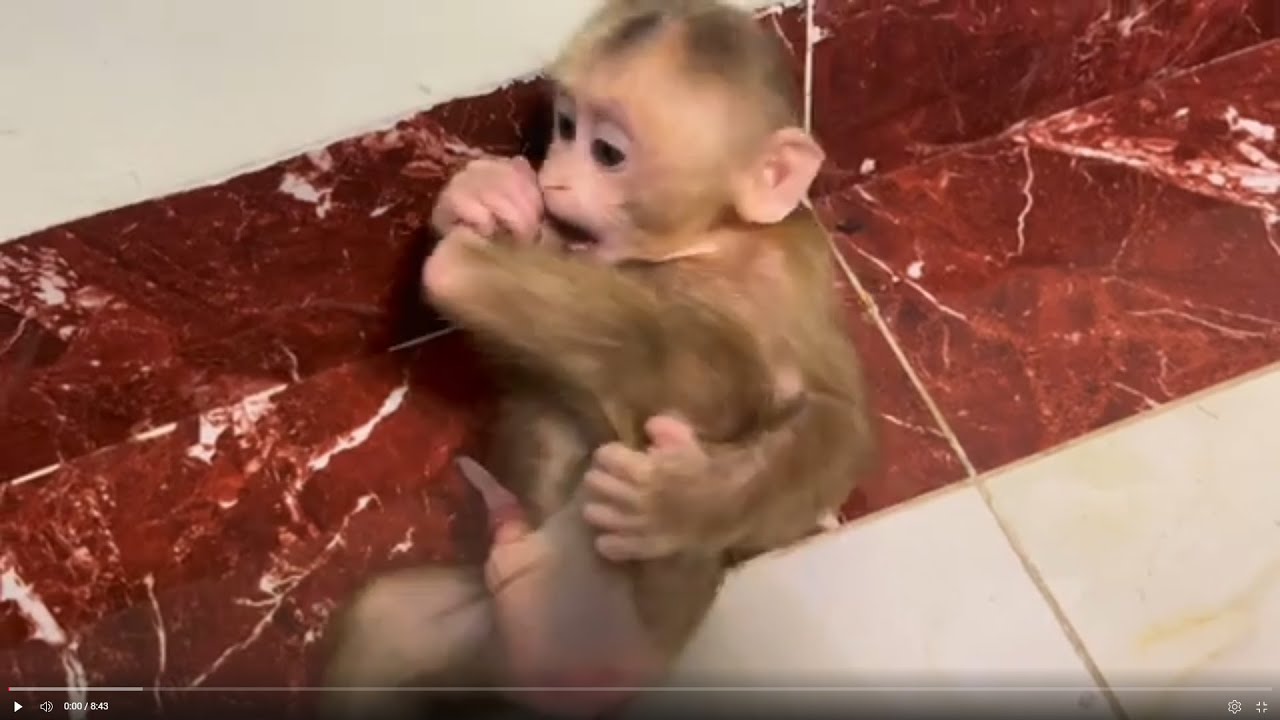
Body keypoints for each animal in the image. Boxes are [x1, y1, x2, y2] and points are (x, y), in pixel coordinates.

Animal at [320, 0, 878, 717]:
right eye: (563, 127)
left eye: (607, 153)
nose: (552, 176)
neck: (706, 241)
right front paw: (479, 198)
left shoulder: (788, 279)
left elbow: (832, 420)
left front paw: (676, 501)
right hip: (470, 631)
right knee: (385, 626)